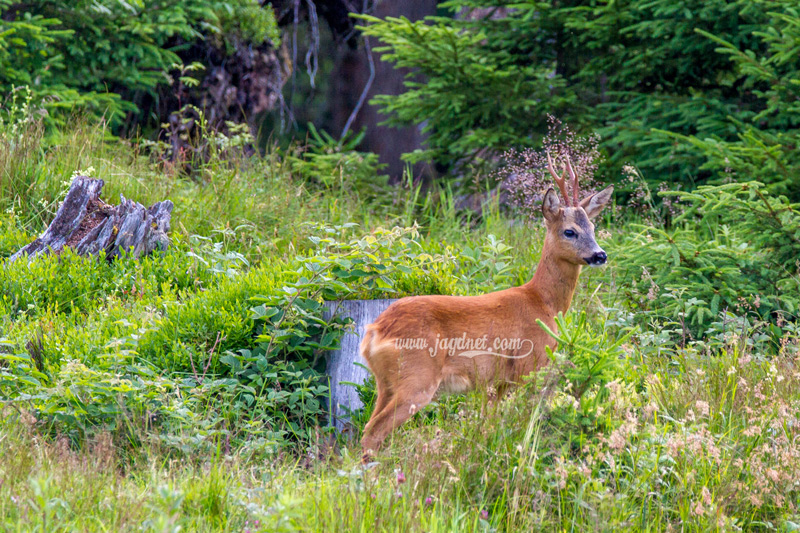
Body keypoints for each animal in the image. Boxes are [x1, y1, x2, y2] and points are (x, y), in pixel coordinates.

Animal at [360, 154, 616, 462]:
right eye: (570, 231)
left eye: (593, 228)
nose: (600, 255)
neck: (543, 302)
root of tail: (375, 330)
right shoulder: (529, 365)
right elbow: (524, 421)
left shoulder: (494, 383)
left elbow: (488, 426)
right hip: (416, 377)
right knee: (373, 432)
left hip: (384, 382)